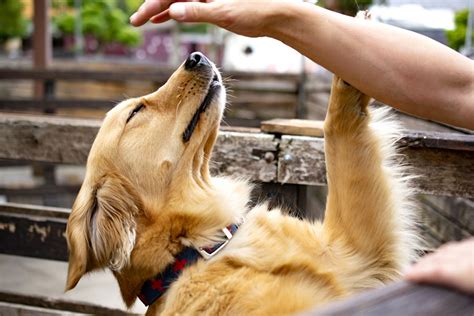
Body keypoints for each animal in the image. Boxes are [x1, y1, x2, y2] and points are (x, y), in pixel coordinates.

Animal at [64, 51, 418, 314]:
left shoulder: (359, 251)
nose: (195, 56)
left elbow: (342, 139)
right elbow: (337, 132)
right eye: (136, 112)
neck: (203, 246)